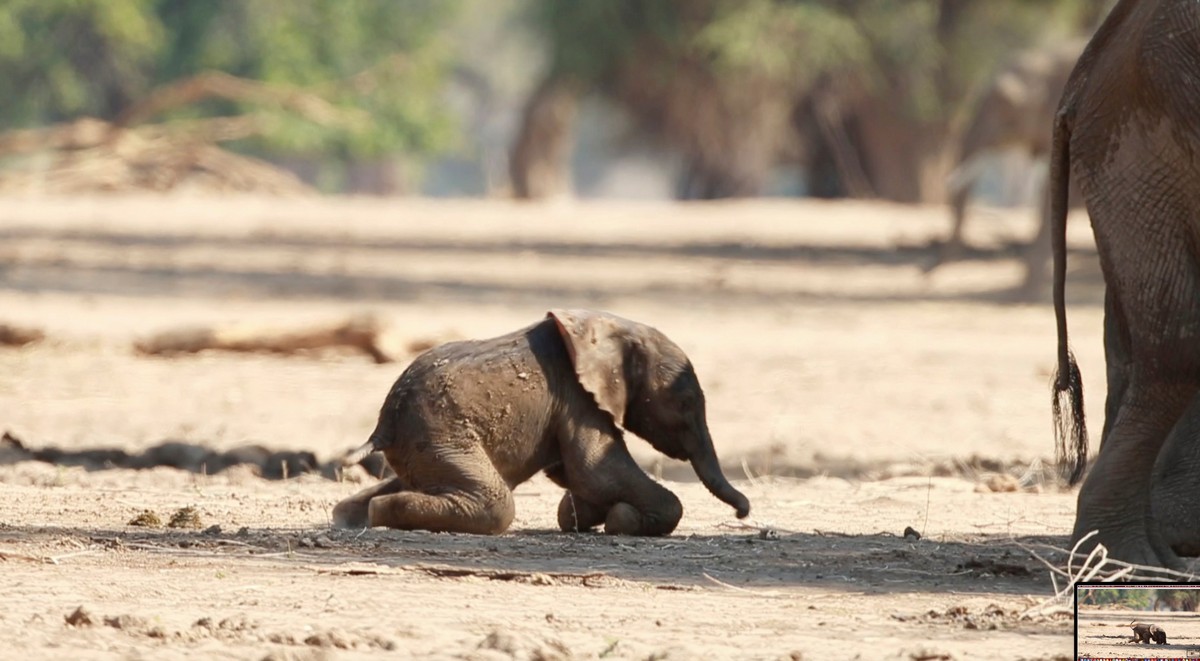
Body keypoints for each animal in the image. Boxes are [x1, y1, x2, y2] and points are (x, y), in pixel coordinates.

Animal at [328, 311, 748, 537]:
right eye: (686, 401)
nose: (742, 512)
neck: (610, 328)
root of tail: (383, 423)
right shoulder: (578, 398)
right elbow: (595, 470)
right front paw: (621, 519)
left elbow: (578, 477)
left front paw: (591, 515)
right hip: (438, 433)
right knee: (496, 503)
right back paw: (380, 514)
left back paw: (353, 516)